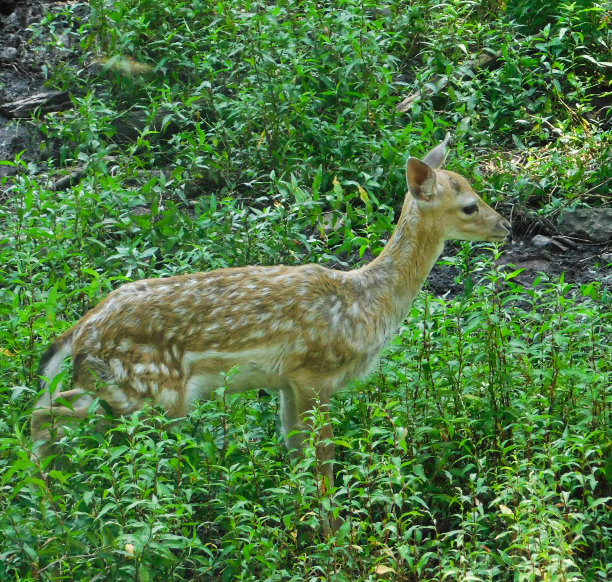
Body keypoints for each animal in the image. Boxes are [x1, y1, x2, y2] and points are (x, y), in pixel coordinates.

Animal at [31, 132, 510, 502]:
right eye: (470, 205)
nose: (505, 225)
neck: (365, 304)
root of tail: (79, 331)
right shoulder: (316, 372)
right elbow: (324, 461)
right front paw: (334, 532)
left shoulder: (286, 381)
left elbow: (295, 451)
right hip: (151, 392)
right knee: (46, 413)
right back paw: (45, 494)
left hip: (123, 393)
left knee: (50, 411)